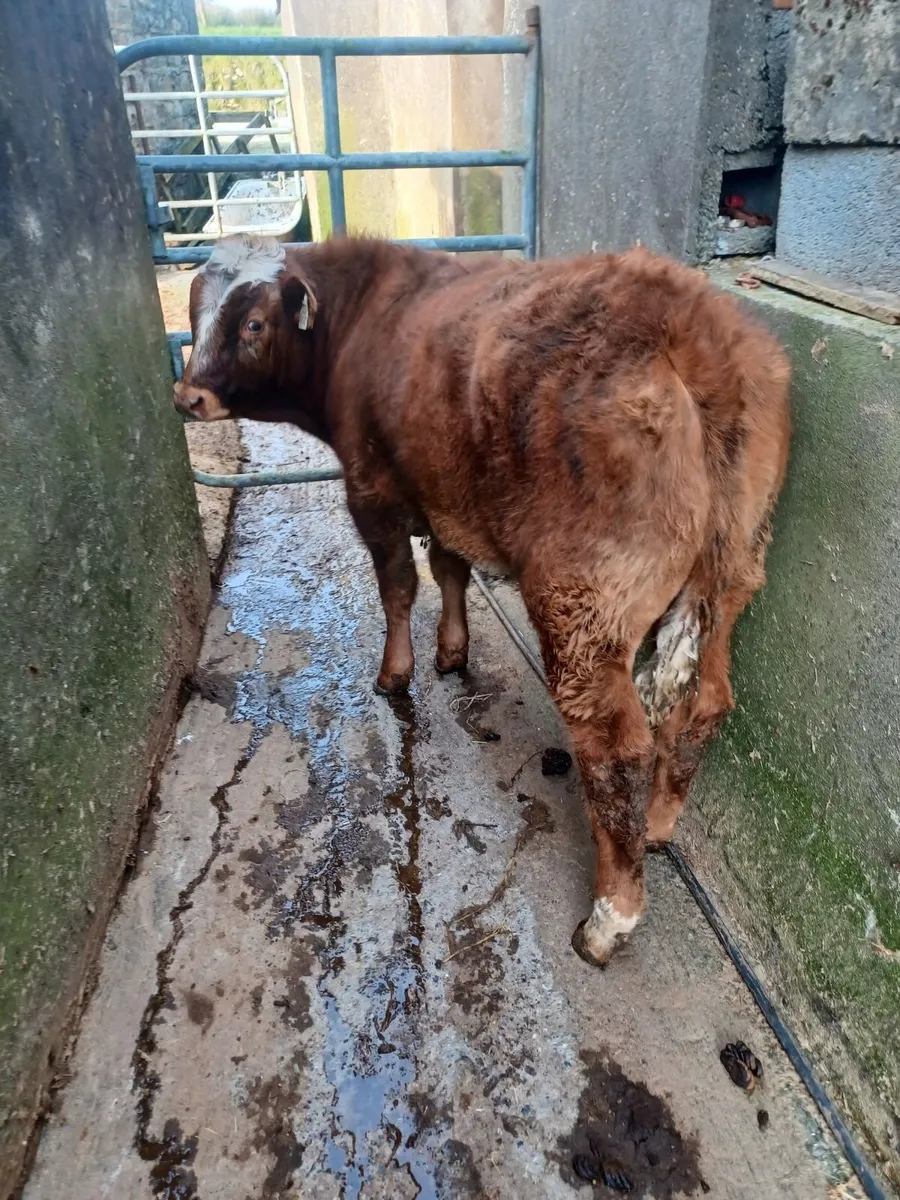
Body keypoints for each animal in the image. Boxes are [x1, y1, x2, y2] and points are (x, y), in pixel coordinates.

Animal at [175, 233, 791, 968]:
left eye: (252, 323)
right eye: (194, 310)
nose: (188, 396)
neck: (368, 314)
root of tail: (695, 325)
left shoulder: (371, 490)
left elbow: (399, 585)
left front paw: (397, 671)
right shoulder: (445, 496)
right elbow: (449, 570)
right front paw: (452, 649)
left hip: (581, 600)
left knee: (616, 747)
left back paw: (610, 917)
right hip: (731, 576)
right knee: (705, 704)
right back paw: (659, 826)